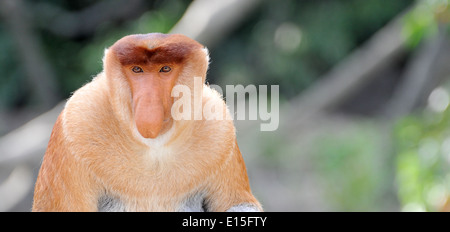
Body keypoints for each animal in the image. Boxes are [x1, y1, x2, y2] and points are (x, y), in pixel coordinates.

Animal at [31, 32, 262, 212]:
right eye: (137, 70)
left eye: (165, 69)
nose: (149, 104)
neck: (153, 146)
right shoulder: (76, 125)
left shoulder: (220, 131)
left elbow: (237, 203)